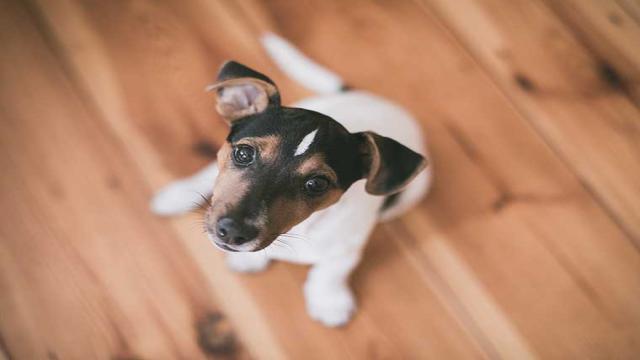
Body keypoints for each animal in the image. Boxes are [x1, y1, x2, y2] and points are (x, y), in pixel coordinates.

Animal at [151, 33, 432, 326]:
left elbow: (331, 271)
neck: (300, 230)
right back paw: (176, 195)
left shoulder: (347, 248)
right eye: (244, 153)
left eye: (316, 184)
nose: (233, 232)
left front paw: (329, 301)